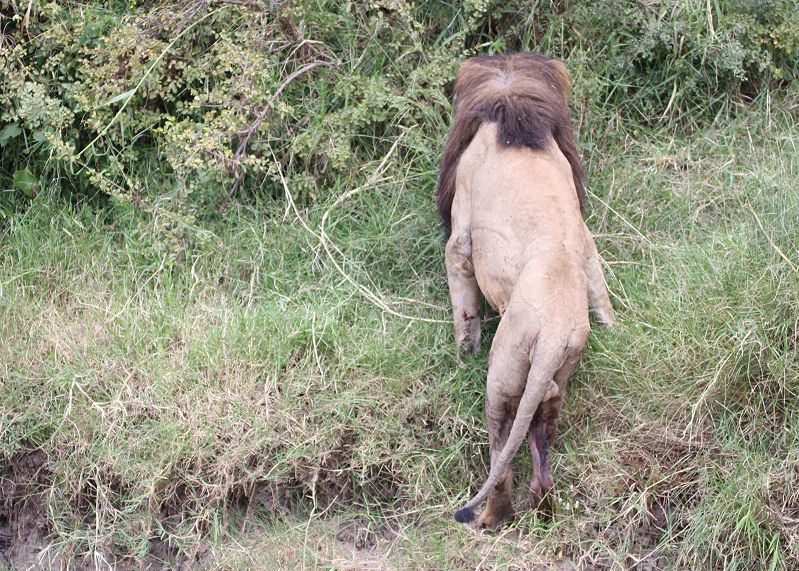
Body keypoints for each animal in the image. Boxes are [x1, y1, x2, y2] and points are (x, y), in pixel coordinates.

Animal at [438, 53, 620, 528]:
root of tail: (555, 331)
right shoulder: (586, 243)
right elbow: (599, 284)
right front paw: (614, 326)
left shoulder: (460, 236)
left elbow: (464, 309)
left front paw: (462, 353)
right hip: (560, 366)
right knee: (543, 431)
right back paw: (542, 504)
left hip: (506, 364)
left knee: (501, 443)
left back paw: (490, 516)